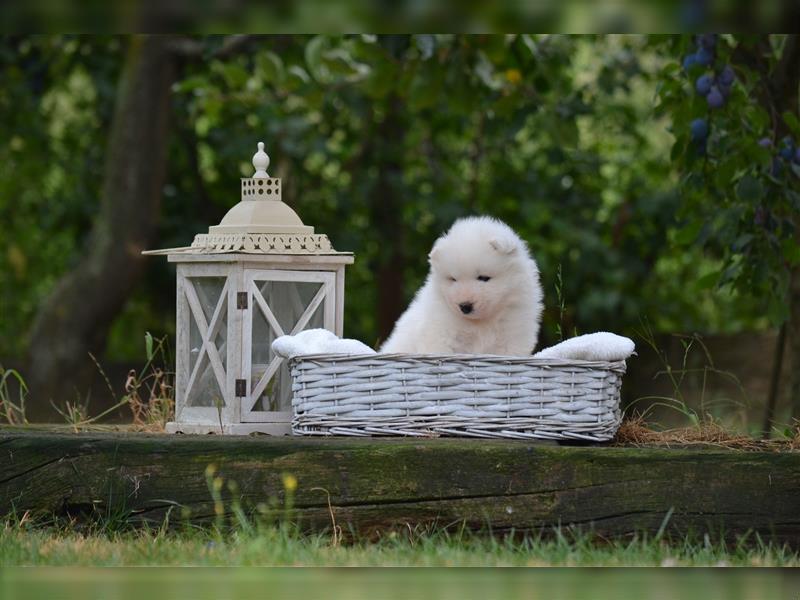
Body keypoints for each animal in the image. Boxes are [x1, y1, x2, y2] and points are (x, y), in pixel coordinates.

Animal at [380, 217, 544, 354]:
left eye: (483, 278)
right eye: (453, 279)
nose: (465, 306)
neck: (480, 323)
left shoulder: (512, 335)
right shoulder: (441, 333)